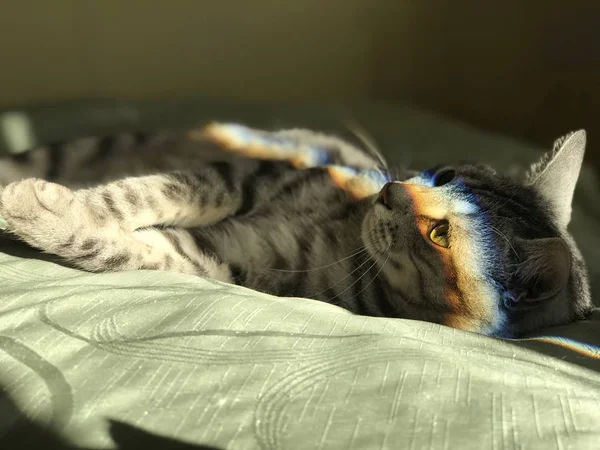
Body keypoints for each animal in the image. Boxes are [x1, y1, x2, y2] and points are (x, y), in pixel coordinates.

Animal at [0, 123, 592, 338]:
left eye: (440, 235)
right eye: (443, 176)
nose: (390, 190)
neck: (346, 233)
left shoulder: (232, 258)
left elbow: (126, 245)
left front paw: (35, 210)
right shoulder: (246, 176)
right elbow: (149, 193)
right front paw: (42, 202)